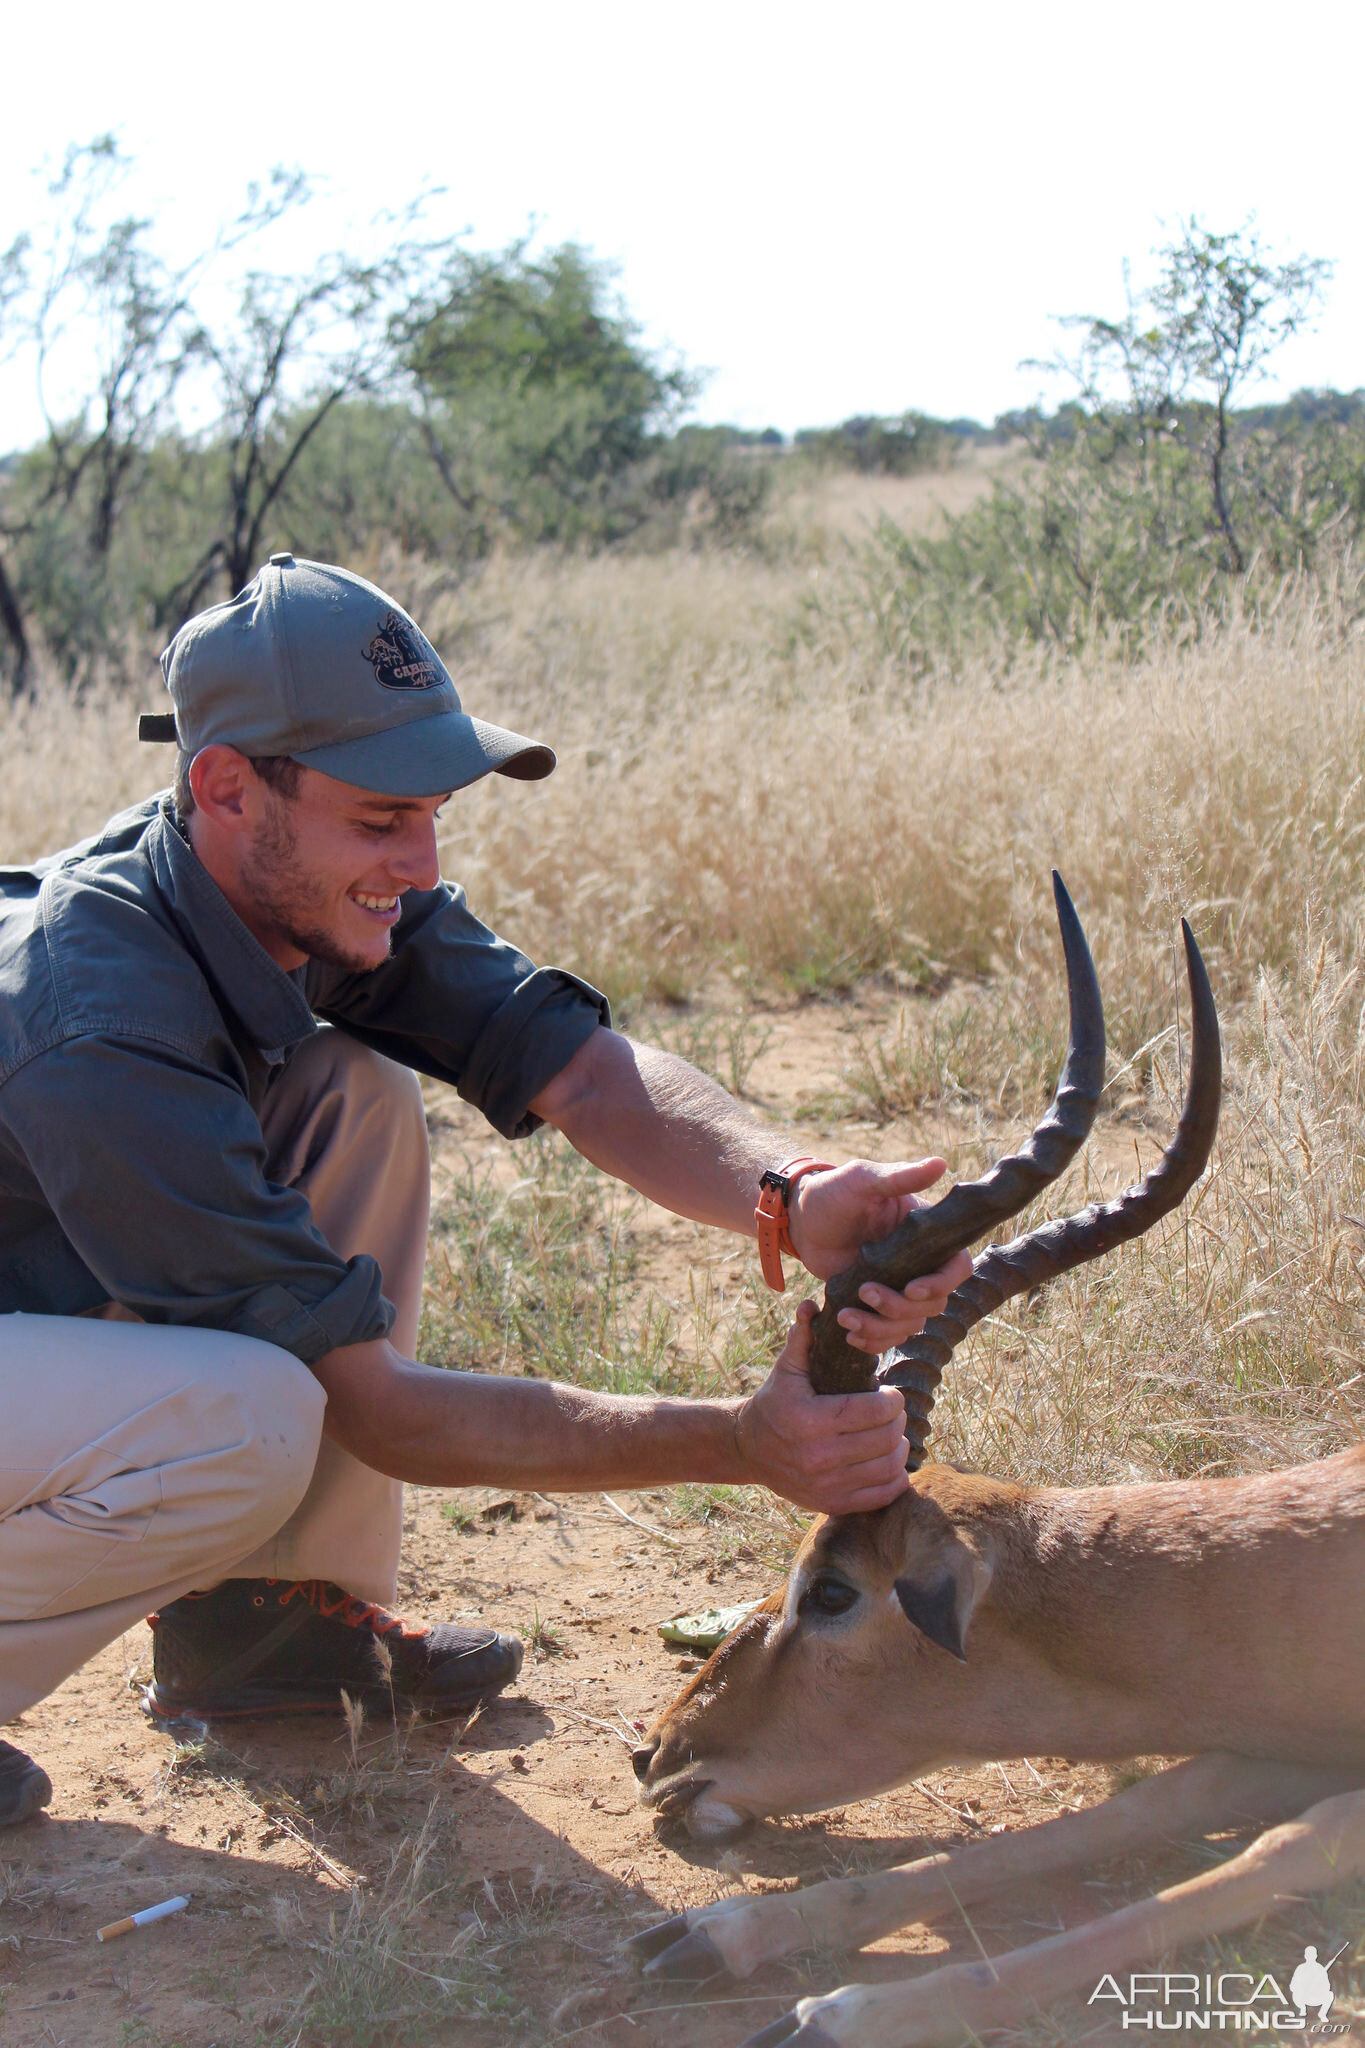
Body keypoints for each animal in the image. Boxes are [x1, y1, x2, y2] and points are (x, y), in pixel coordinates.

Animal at [630, 888, 1365, 2048]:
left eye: (830, 1591)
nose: (656, 1750)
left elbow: (1286, 1840)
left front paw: (844, 2009)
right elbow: (1154, 1799)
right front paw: (722, 1930)